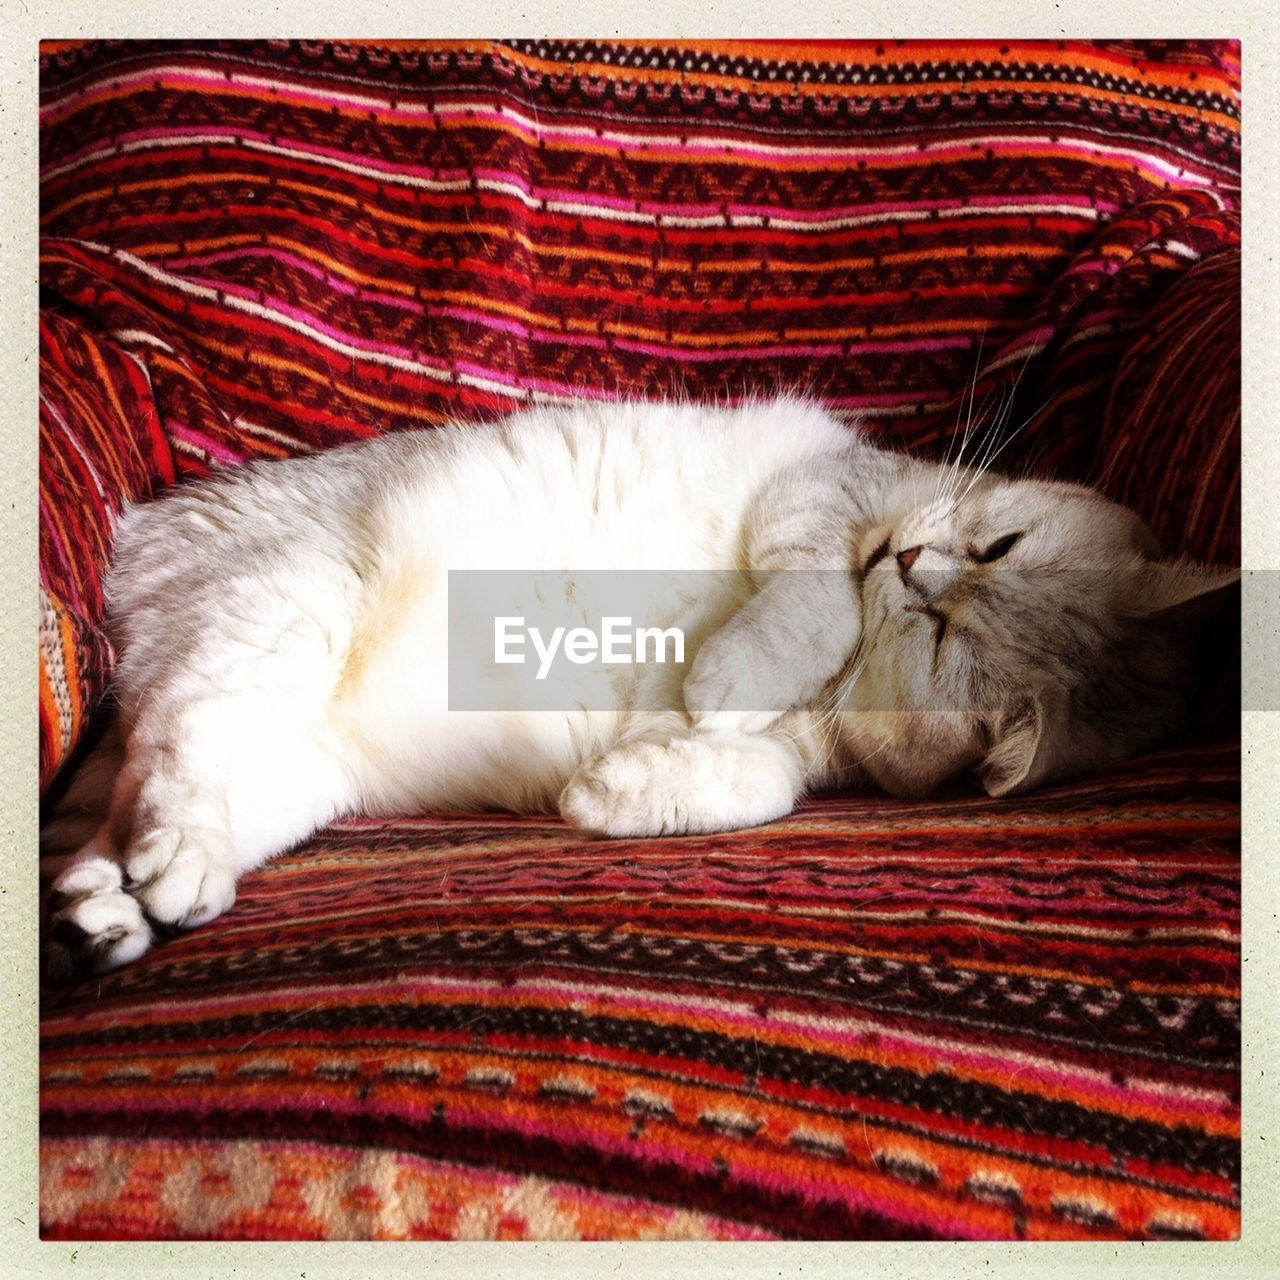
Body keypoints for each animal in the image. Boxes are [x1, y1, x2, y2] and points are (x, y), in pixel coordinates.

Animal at [40, 394, 1233, 972]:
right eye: (999, 546)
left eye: (945, 642)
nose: (911, 567)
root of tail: (145, 527)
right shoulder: (825, 497)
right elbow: (809, 607)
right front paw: (730, 674)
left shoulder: (810, 755)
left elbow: (761, 780)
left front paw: (621, 789)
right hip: (279, 616)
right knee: (176, 755)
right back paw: (152, 879)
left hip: (303, 764)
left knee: (134, 803)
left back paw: (106, 913)